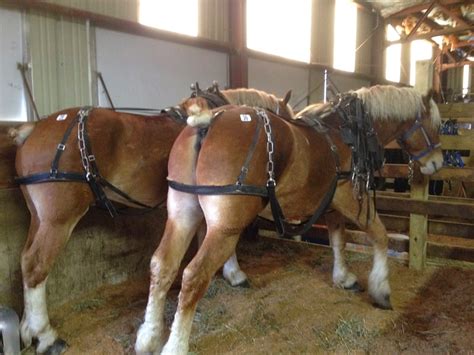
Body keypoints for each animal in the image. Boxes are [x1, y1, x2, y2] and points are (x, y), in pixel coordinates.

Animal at [10, 85, 292, 354]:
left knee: (24, 261)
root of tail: (33, 129)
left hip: (38, 217)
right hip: (57, 220)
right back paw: (46, 336)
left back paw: (26, 329)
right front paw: (235, 274)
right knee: (36, 265)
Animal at [134, 85, 444, 354]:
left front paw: (343, 277)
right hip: (224, 227)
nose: (438, 162)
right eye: (437, 126)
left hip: (183, 214)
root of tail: (206, 121)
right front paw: (381, 290)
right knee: (194, 275)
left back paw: (148, 337)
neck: (346, 134)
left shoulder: (330, 203)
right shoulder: (351, 198)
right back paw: (175, 346)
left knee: (162, 264)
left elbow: (337, 240)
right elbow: (379, 235)